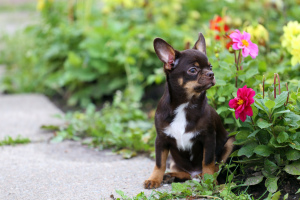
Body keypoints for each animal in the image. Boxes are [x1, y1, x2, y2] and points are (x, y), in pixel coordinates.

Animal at [144, 32, 236, 189]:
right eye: (193, 70)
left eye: (210, 66)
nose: (211, 74)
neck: (186, 104)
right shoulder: (161, 139)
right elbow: (159, 163)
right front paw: (154, 179)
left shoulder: (209, 138)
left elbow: (208, 162)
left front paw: (210, 181)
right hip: (175, 161)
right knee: (184, 173)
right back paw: (171, 176)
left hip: (230, 143)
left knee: (216, 167)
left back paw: (207, 179)